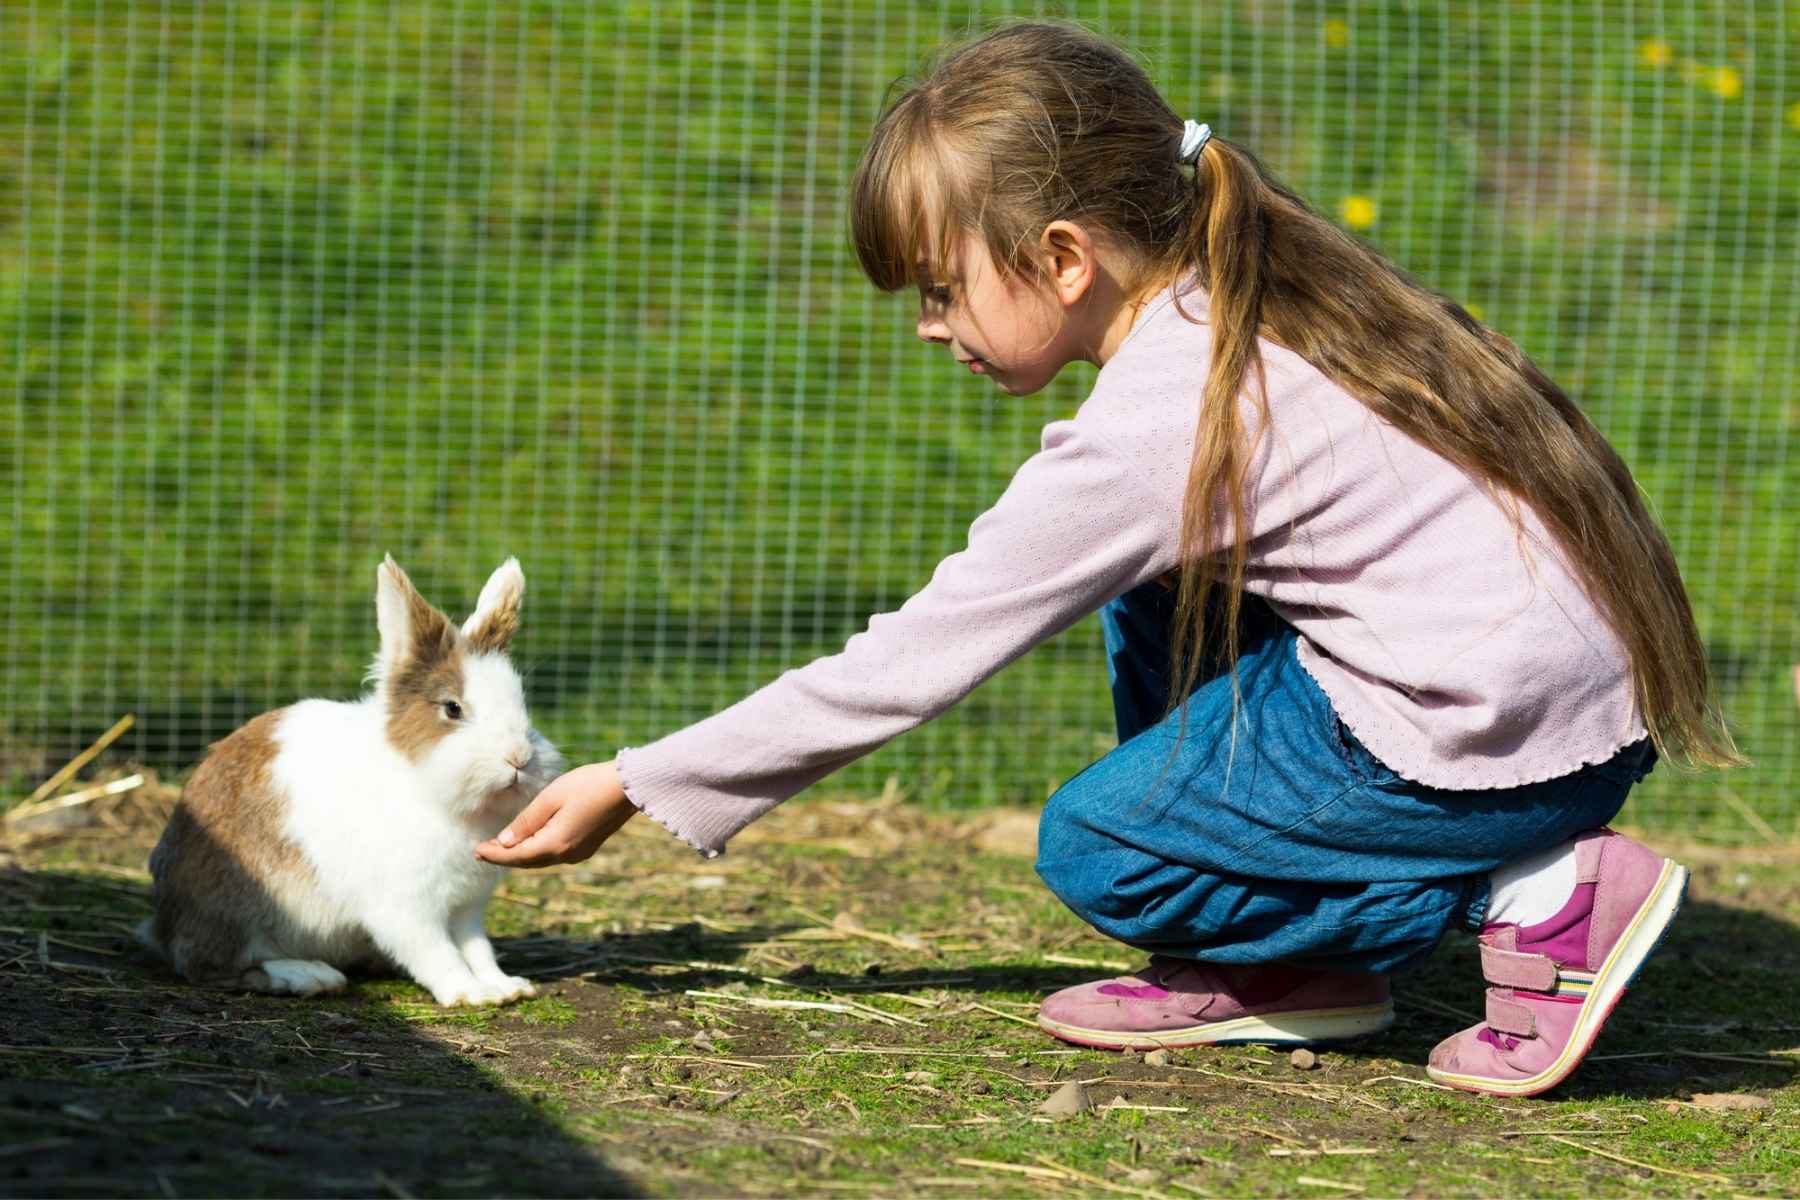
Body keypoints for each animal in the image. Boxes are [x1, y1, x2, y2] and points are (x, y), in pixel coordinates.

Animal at [137, 557, 561, 1007]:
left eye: (522, 706)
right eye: (453, 708)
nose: (519, 758)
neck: (427, 786)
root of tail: (164, 922)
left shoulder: (467, 909)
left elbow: (478, 949)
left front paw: (506, 986)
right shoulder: (407, 908)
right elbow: (437, 953)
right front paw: (469, 994)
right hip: (238, 912)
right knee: (215, 966)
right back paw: (310, 976)